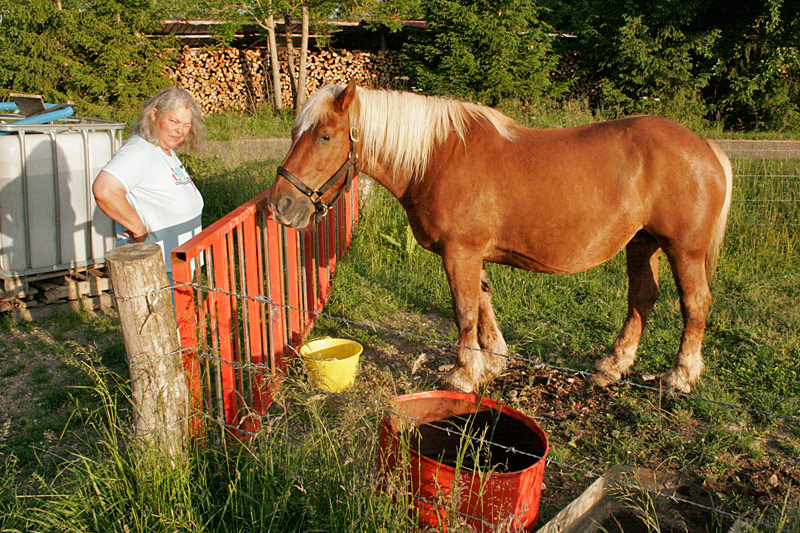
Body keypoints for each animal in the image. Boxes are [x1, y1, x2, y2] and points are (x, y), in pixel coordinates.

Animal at [268, 81, 732, 392]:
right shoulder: (473, 255)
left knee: (695, 304)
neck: (436, 156)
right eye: (294, 134)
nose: (280, 205)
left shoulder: (460, 253)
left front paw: (463, 374)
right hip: (641, 243)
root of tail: (705, 147)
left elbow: (464, 311)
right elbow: (484, 303)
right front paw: (491, 363)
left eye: (325, 136)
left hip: (683, 249)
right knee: (642, 298)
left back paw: (680, 375)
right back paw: (613, 365)